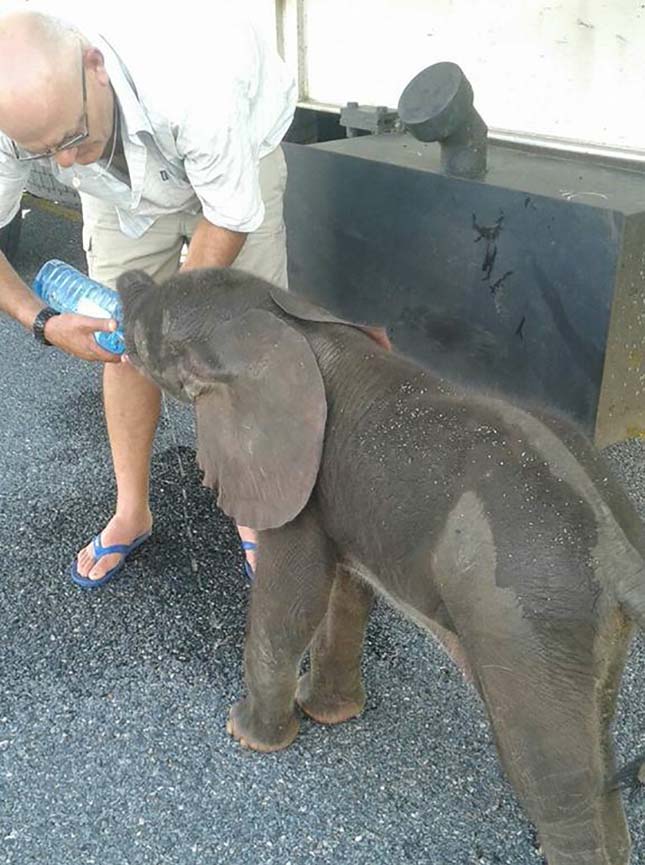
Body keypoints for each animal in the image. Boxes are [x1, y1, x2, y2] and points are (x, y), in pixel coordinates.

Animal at [118, 264, 644, 864]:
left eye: (149, 334)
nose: (128, 278)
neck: (283, 323)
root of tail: (619, 555)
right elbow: (345, 592)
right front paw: (326, 714)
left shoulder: (297, 482)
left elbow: (293, 598)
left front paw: (245, 736)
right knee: (595, 745)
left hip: (523, 617)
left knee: (551, 777)